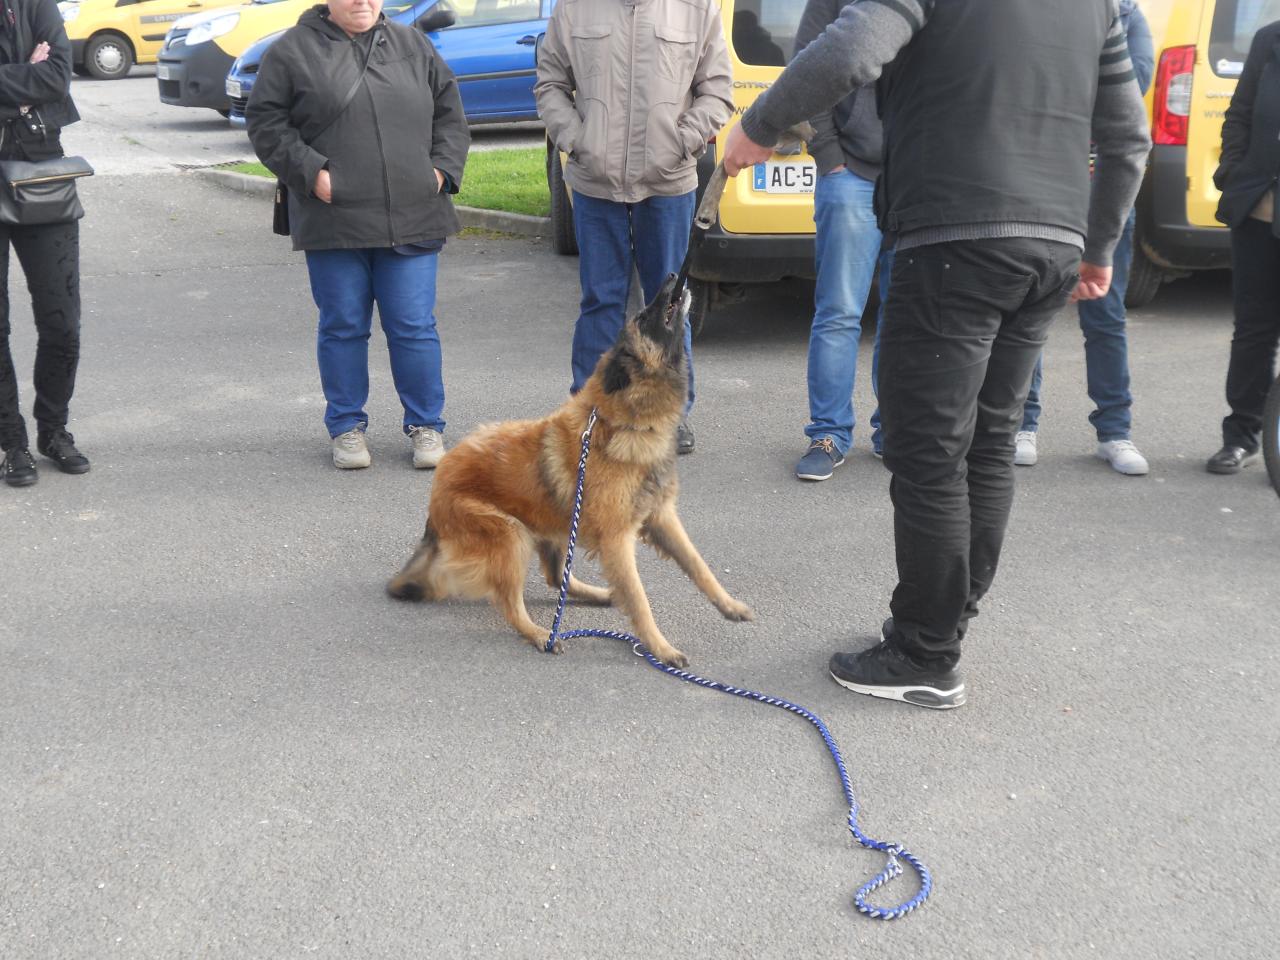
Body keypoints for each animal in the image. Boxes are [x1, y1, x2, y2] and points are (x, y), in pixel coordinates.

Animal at [386, 273, 747, 670]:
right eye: (641, 318)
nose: (671, 276)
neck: (625, 423)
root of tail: (437, 488)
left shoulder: (661, 516)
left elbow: (698, 565)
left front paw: (729, 605)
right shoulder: (617, 538)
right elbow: (639, 598)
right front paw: (660, 647)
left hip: (555, 524)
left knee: (557, 577)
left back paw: (599, 596)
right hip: (511, 535)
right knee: (511, 603)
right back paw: (540, 634)